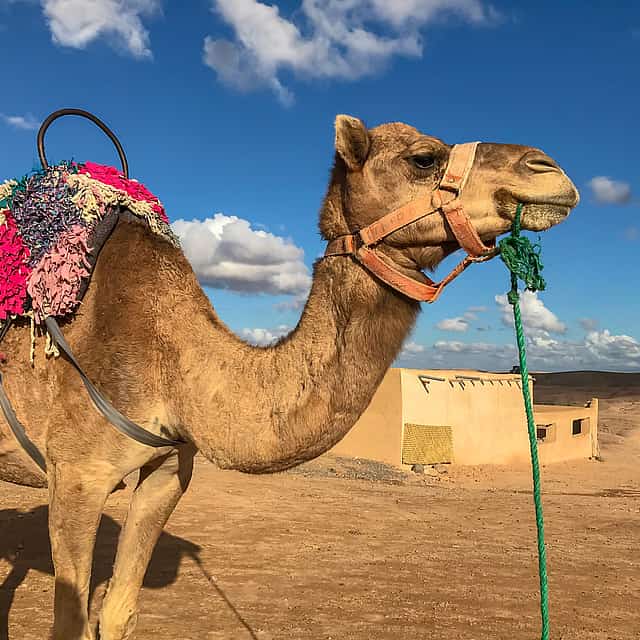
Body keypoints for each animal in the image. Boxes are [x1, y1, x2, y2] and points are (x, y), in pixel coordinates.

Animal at [0, 115, 579, 639]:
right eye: (424, 158)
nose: (549, 169)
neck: (172, 360)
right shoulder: (78, 475)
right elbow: (71, 622)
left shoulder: (166, 473)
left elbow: (119, 613)